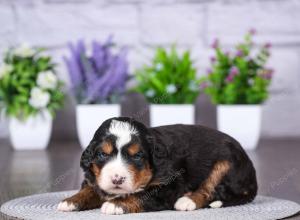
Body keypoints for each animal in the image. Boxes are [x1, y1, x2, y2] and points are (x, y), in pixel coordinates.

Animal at [57, 117, 256, 215]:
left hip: (225, 162)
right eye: (102, 154)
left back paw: (187, 201)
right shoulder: (94, 178)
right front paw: (70, 201)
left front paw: (116, 204)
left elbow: (141, 195)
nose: (117, 179)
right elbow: (89, 189)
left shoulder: (167, 186)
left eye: (137, 156)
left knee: (210, 189)